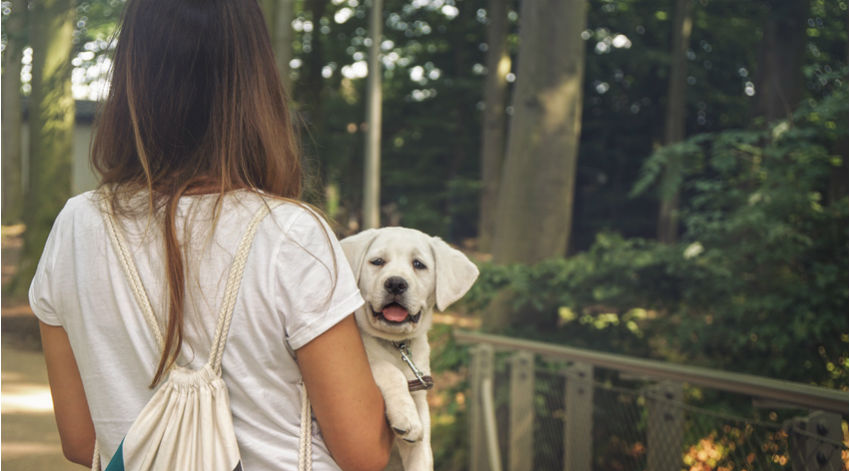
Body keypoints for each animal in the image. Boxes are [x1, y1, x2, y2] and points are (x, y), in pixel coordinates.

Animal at [342, 227, 480, 470]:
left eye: (418, 264)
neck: (396, 345)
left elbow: (421, 455)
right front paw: (406, 418)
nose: (396, 283)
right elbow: (390, 370)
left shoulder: (419, 393)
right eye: (377, 262)